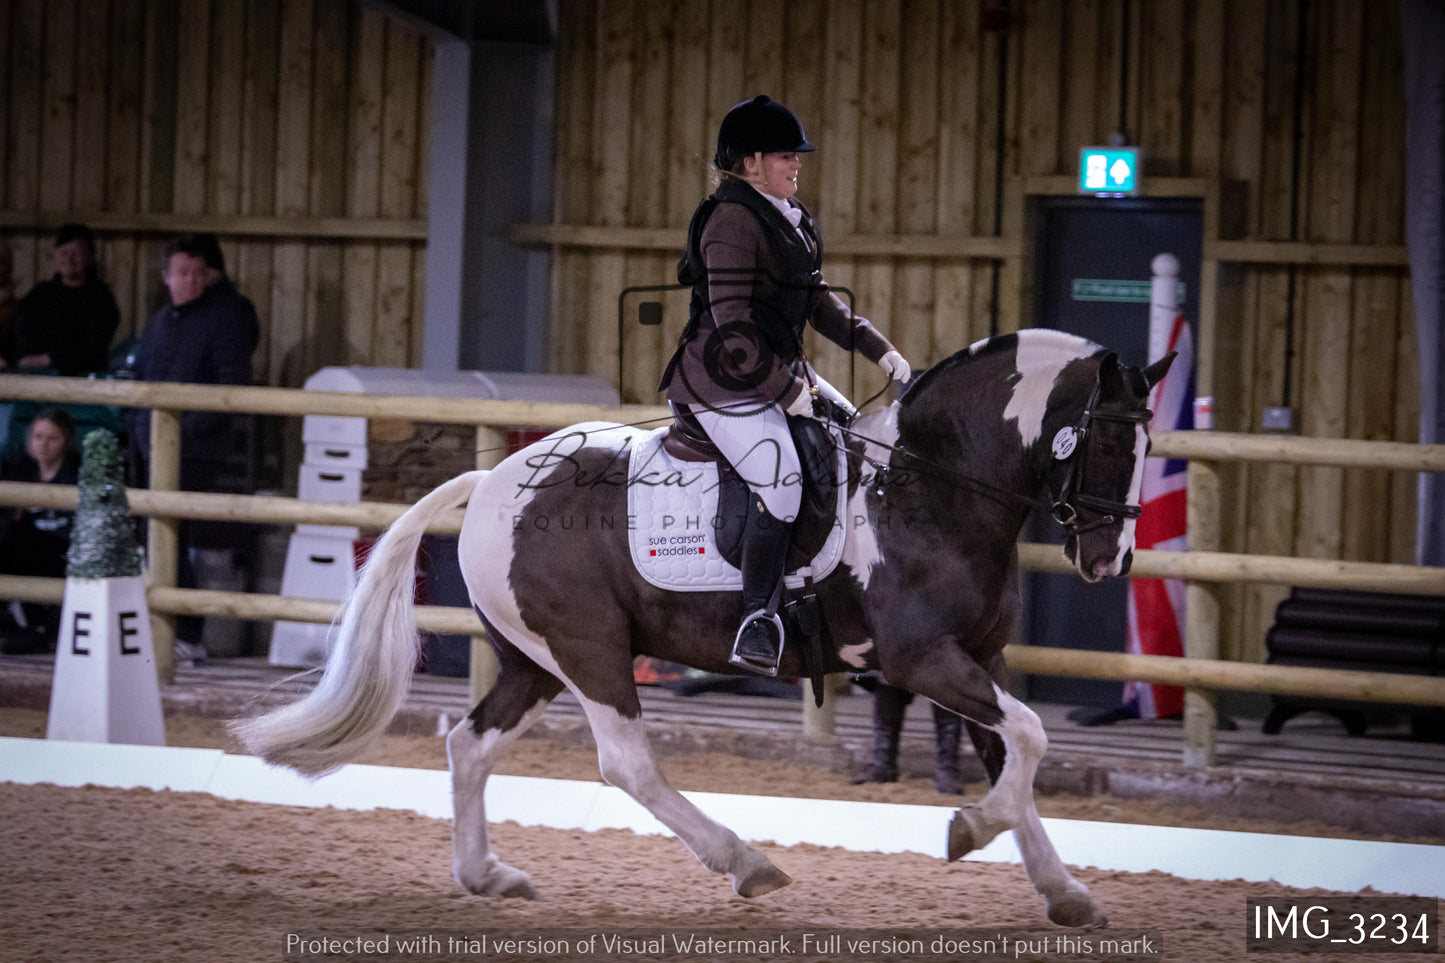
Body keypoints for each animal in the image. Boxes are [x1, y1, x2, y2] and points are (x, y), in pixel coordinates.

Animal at [236, 328, 1173, 925]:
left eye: (1146, 442)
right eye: (1105, 440)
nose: (1109, 560)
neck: (924, 483)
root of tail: (495, 478)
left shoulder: (980, 655)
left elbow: (1014, 751)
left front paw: (1064, 892)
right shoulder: (922, 659)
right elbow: (1028, 739)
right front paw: (967, 829)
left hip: (534, 659)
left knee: (470, 744)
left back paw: (487, 875)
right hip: (588, 650)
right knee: (625, 763)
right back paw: (744, 862)